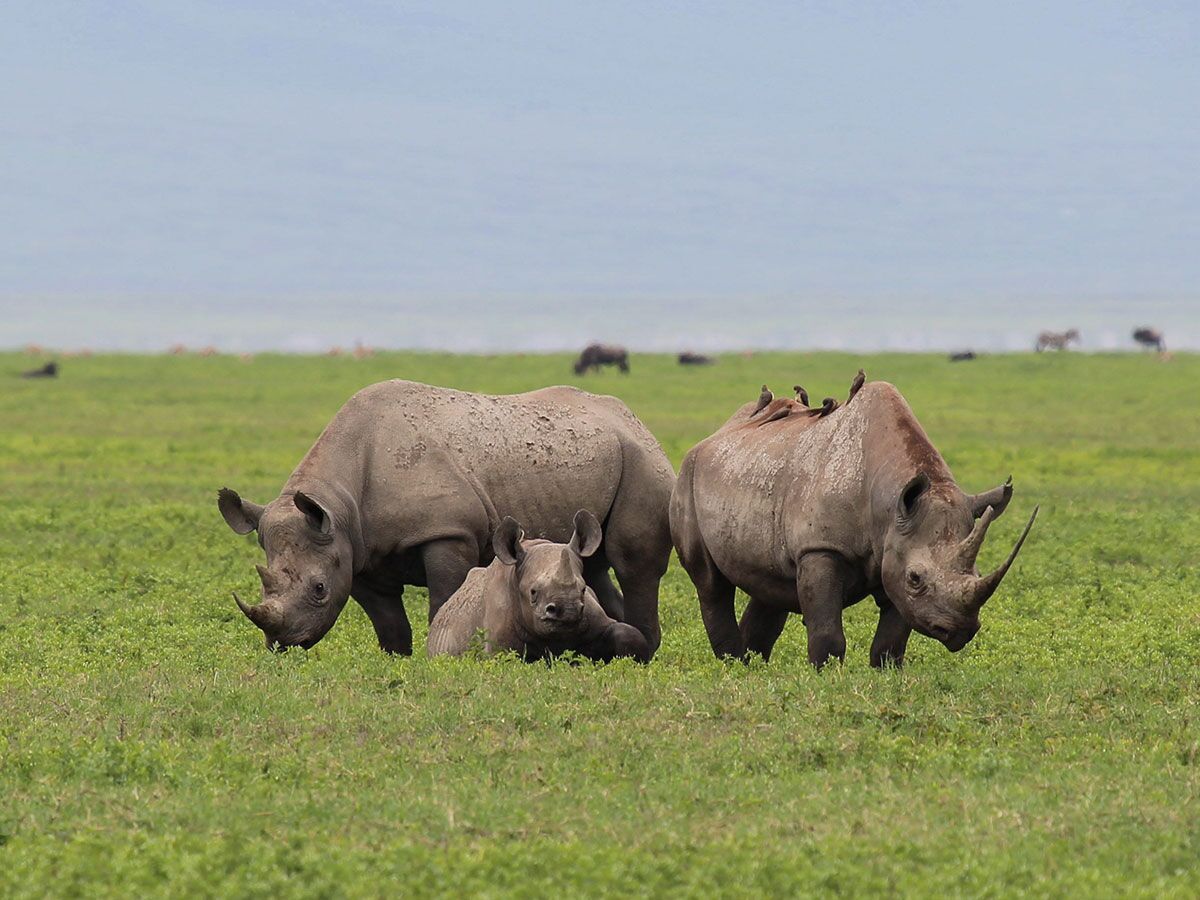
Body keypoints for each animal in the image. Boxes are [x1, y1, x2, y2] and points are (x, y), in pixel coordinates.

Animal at [670, 375, 1037, 668]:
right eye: (916, 578)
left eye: (977, 571)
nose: (959, 630)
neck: (888, 501)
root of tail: (716, 433)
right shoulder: (821, 548)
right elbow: (827, 632)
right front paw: (826, 677)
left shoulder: (894, 547)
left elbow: (891, 640)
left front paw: (886, 676)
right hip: (687, 476)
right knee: (711, 584)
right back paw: (733, 666)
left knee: (769, 586)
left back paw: (752, 668)